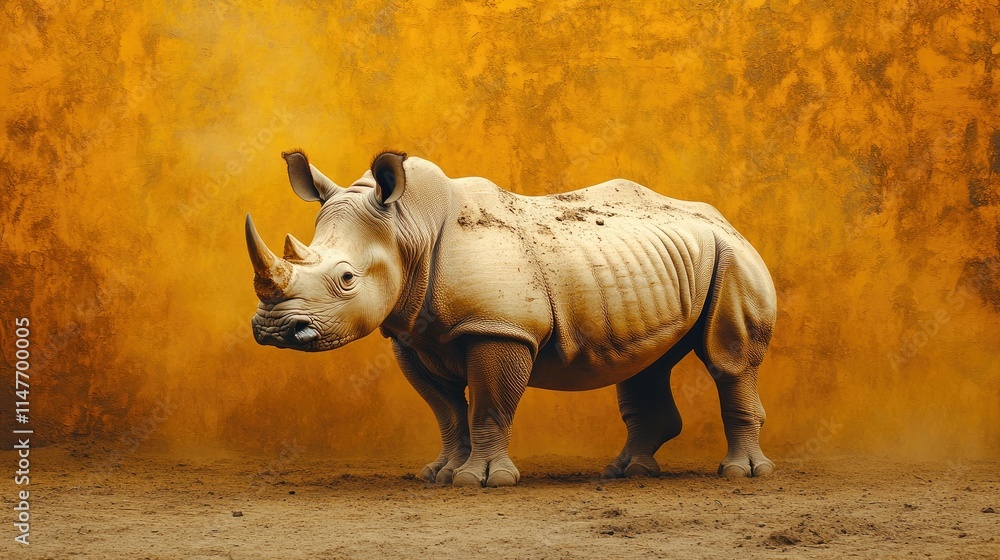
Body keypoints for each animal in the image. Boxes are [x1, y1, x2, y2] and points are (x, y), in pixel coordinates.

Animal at [246, 149, 776, 487]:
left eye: (347, 278)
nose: (273, 330)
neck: (407, 229)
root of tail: (728, 220)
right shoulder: (412, 336)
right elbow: (446, 411)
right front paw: (437, 475)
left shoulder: (500, 330)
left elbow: (488, 405)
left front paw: (481, 481)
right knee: (646, 364)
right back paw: (626, 472)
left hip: (732, 256)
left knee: (728, 362)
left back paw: (741, 474)